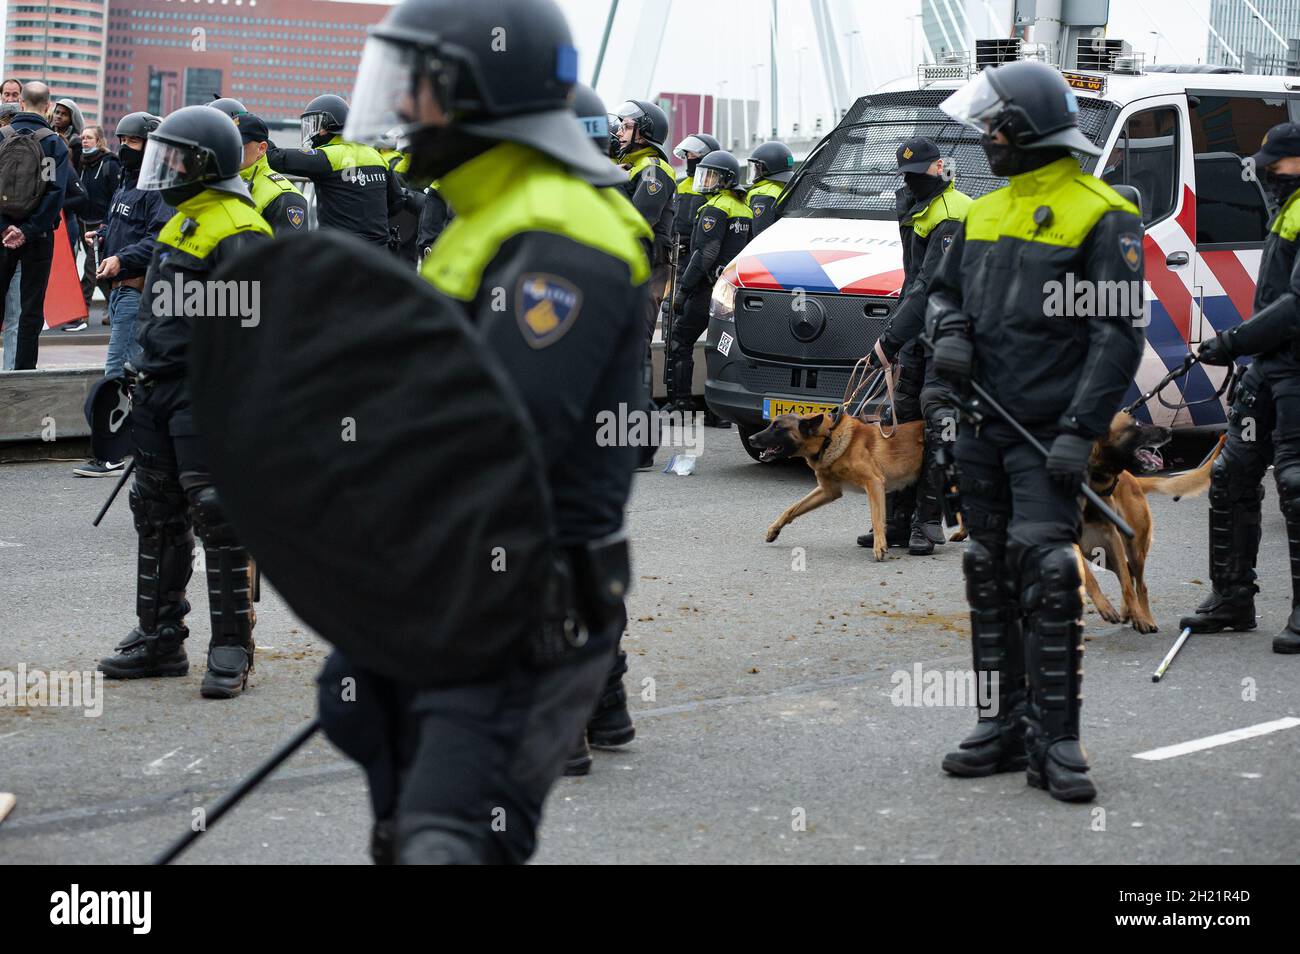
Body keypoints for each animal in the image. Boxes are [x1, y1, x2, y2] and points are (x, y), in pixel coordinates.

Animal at [754, 408, 925, 561]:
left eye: (778, 427)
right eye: (771, 424)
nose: (751, 438)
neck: (828, 438)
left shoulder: (874, 483)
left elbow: (876, 519)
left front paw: (879, 546)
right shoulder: (828, 491)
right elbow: (792, 508)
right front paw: (774, 530)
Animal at [1081, 413, 1222, 631]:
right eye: (1136, 424)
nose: (1169, 431)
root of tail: (1135, 480)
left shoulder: (1111, 535)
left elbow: (1128, 585)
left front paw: (1139, 617)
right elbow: (1090, 578)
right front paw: (1105, 607)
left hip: (1131, 547)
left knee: (1137, 582)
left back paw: (1144, 617)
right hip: (1094, 549)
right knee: (1127, 573)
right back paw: (1128, 612)